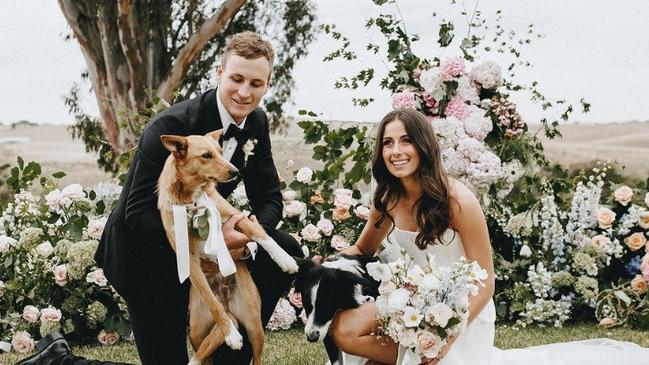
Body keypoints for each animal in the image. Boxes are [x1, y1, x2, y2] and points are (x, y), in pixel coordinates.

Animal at [157, 129, 298, 362]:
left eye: (220, 151)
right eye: (206, 155)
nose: (235, 172)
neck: (192, 200)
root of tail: (227, 300)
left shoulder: (234, 216)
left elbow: (259, 234)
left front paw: (285, 260)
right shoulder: (189, 260)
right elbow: (212, 302)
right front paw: (230, 334)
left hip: (254, 326)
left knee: (257, 358)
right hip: (196, 331)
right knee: (204, 352)